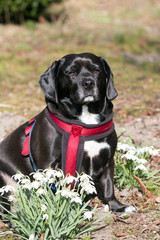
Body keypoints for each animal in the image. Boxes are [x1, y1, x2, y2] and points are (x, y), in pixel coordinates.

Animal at [0, 51, 136, 213]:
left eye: (96, 70)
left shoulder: (108, 160)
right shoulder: (48, 165)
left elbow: (109, 187)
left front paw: (118, 207)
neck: (84, 122)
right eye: (71, 73)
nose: (88, 83)